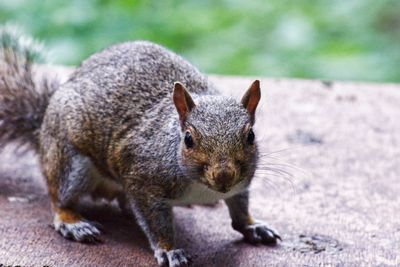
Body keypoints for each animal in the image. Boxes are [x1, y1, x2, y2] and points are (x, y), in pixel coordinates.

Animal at [0, 26, 282, 267]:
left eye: (251, 136)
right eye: (188, 139)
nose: (224, 177)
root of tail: (42, 130)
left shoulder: (241, 184)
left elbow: (240, 209)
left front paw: (253, 226)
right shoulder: (143, 183)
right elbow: (157, 223)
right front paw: (169, 250)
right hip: (71, 162)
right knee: (59, 197)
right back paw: (73, 222)